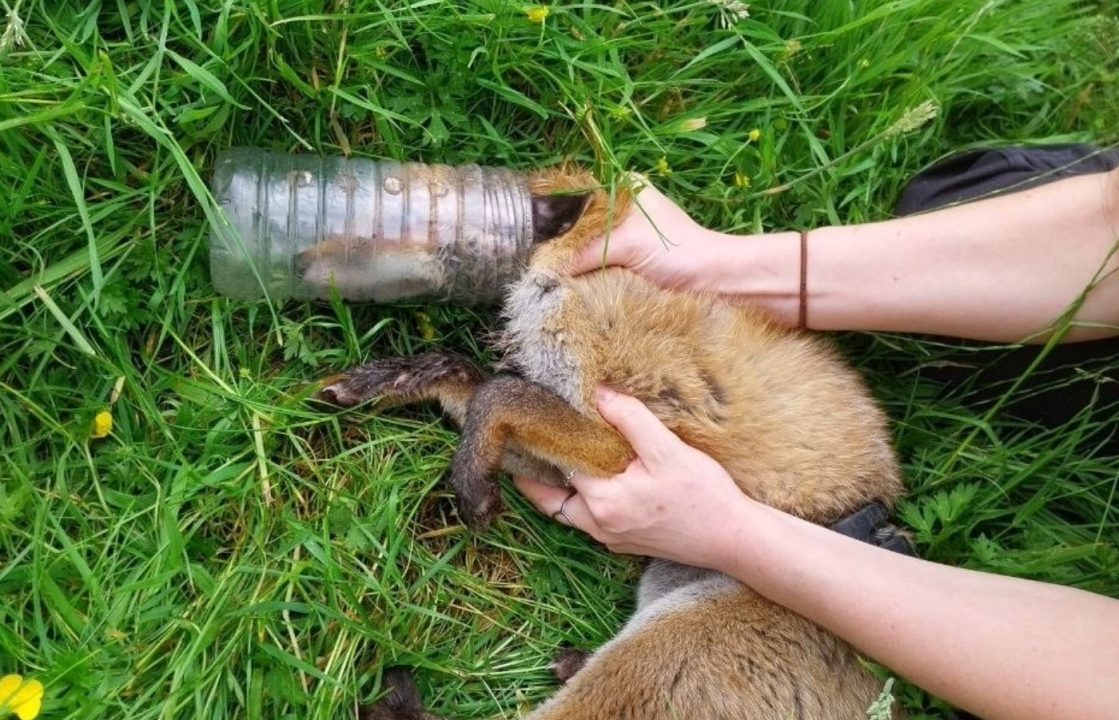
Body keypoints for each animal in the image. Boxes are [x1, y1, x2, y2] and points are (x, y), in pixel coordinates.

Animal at [315, 168, 906, 720]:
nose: (331, 252)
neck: (567, 287)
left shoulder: (627, 440)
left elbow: (502, 394)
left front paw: (472, 489)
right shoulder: (559, 450)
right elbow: (469, 381)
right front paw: (387, 381)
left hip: (670, 650)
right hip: (668, 586)